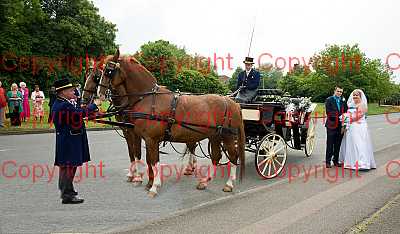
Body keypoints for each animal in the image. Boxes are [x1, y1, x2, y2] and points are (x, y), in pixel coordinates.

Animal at [98, 49, 245, 197]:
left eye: (108, 71)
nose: (100, 94)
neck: (148, 98)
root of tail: (232, 102)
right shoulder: (147, 139)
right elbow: (150, 161)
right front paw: (149, 183)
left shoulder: (151, 139)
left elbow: (154, 162)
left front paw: (154, 186)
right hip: (215, 136)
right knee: (216, 156)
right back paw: (204, 181)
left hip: (227, 136)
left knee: (233, 156)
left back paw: (229, 184)